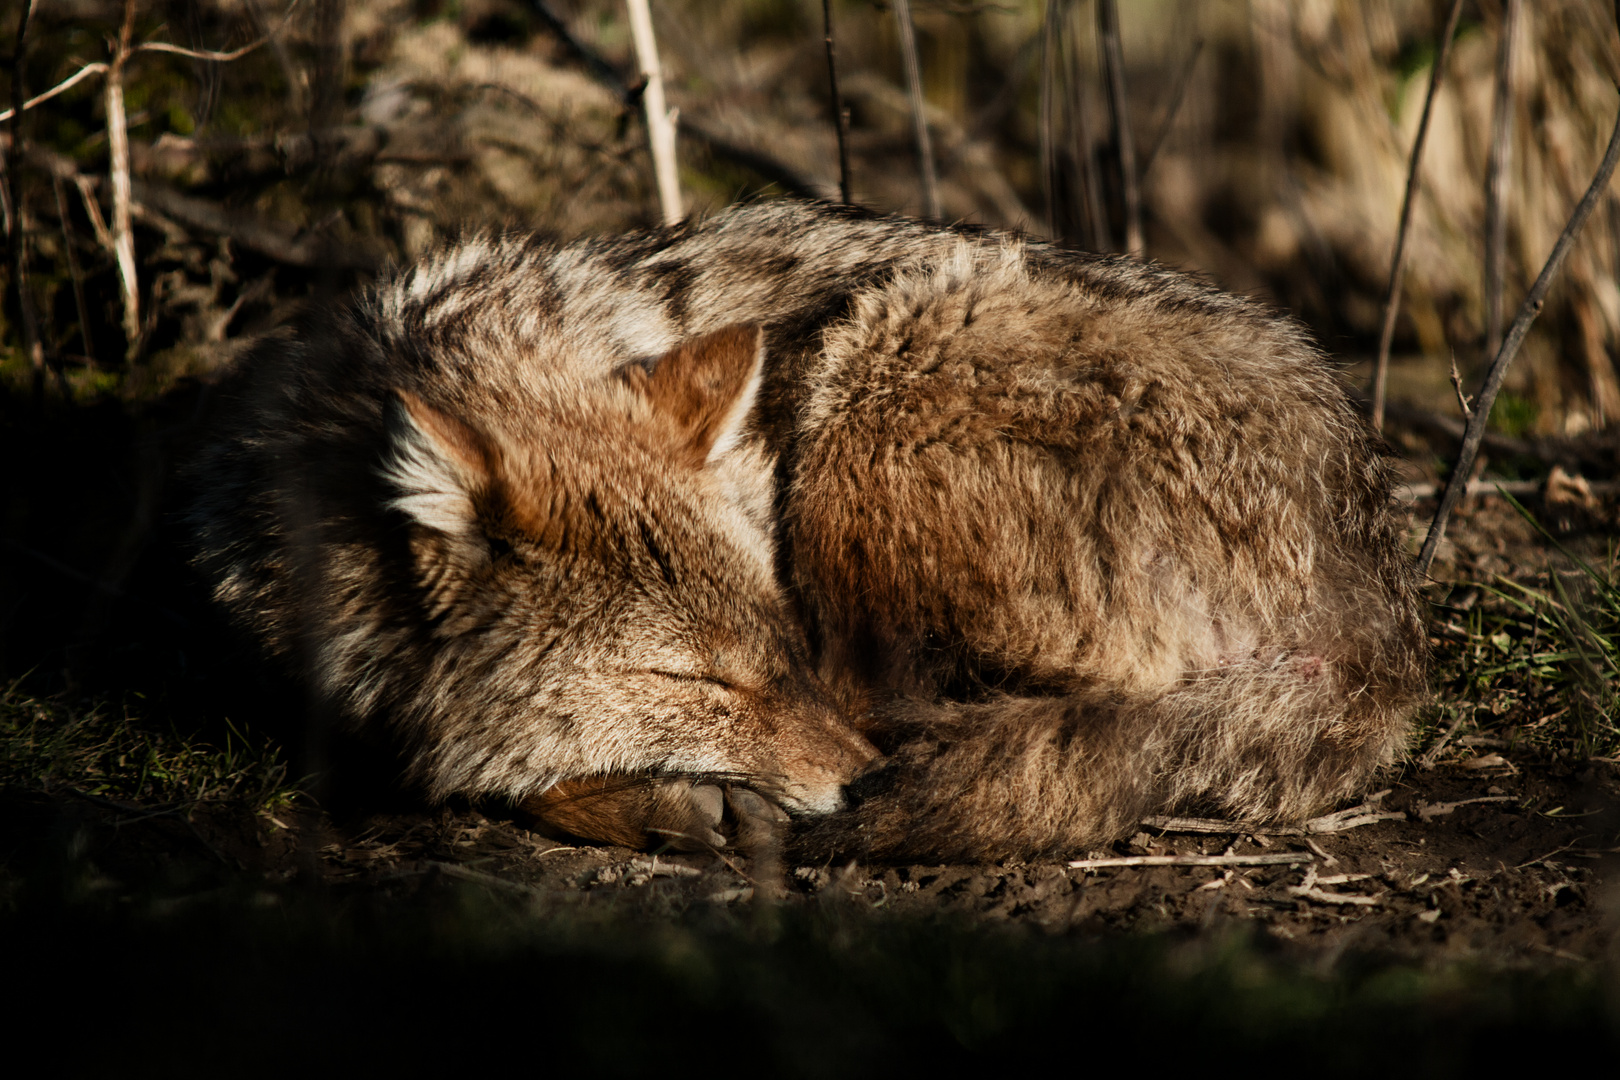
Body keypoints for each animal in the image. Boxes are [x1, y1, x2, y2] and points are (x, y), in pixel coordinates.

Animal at [189, 200, 1425, 861]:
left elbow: (479, 768)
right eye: (696, 680)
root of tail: (1381, 616)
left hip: (874, 376)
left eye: (771, 648)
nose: (858, 781)